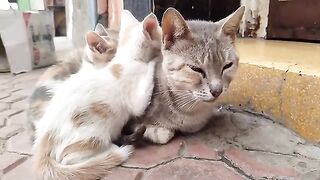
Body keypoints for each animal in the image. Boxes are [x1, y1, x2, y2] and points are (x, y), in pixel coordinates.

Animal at [32, 10, 161, 179]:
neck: (126, 58)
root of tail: (42, 139)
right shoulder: (137, 100)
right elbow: (145, 87)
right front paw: (154, 61)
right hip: (91, 136)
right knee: (68, 158)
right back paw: (112, 150)